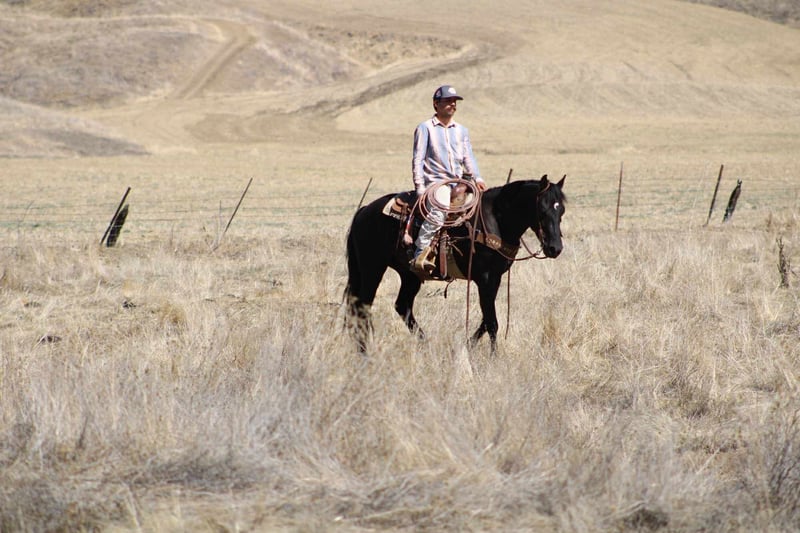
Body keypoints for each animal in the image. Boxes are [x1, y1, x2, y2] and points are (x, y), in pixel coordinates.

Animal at [345, 174, 566, 353]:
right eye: (542, 209)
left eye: (561, 210)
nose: (555, 248)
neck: (495, 220)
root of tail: (364, 211)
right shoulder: (484, 278)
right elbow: (492, 322)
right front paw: (493, 356)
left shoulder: (495, 278)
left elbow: (486, 319)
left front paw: (468, 345)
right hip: (372, 267)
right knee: (363, 307)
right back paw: (364, 351)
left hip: (409, 274)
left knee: (402, 306)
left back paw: (425, 344)